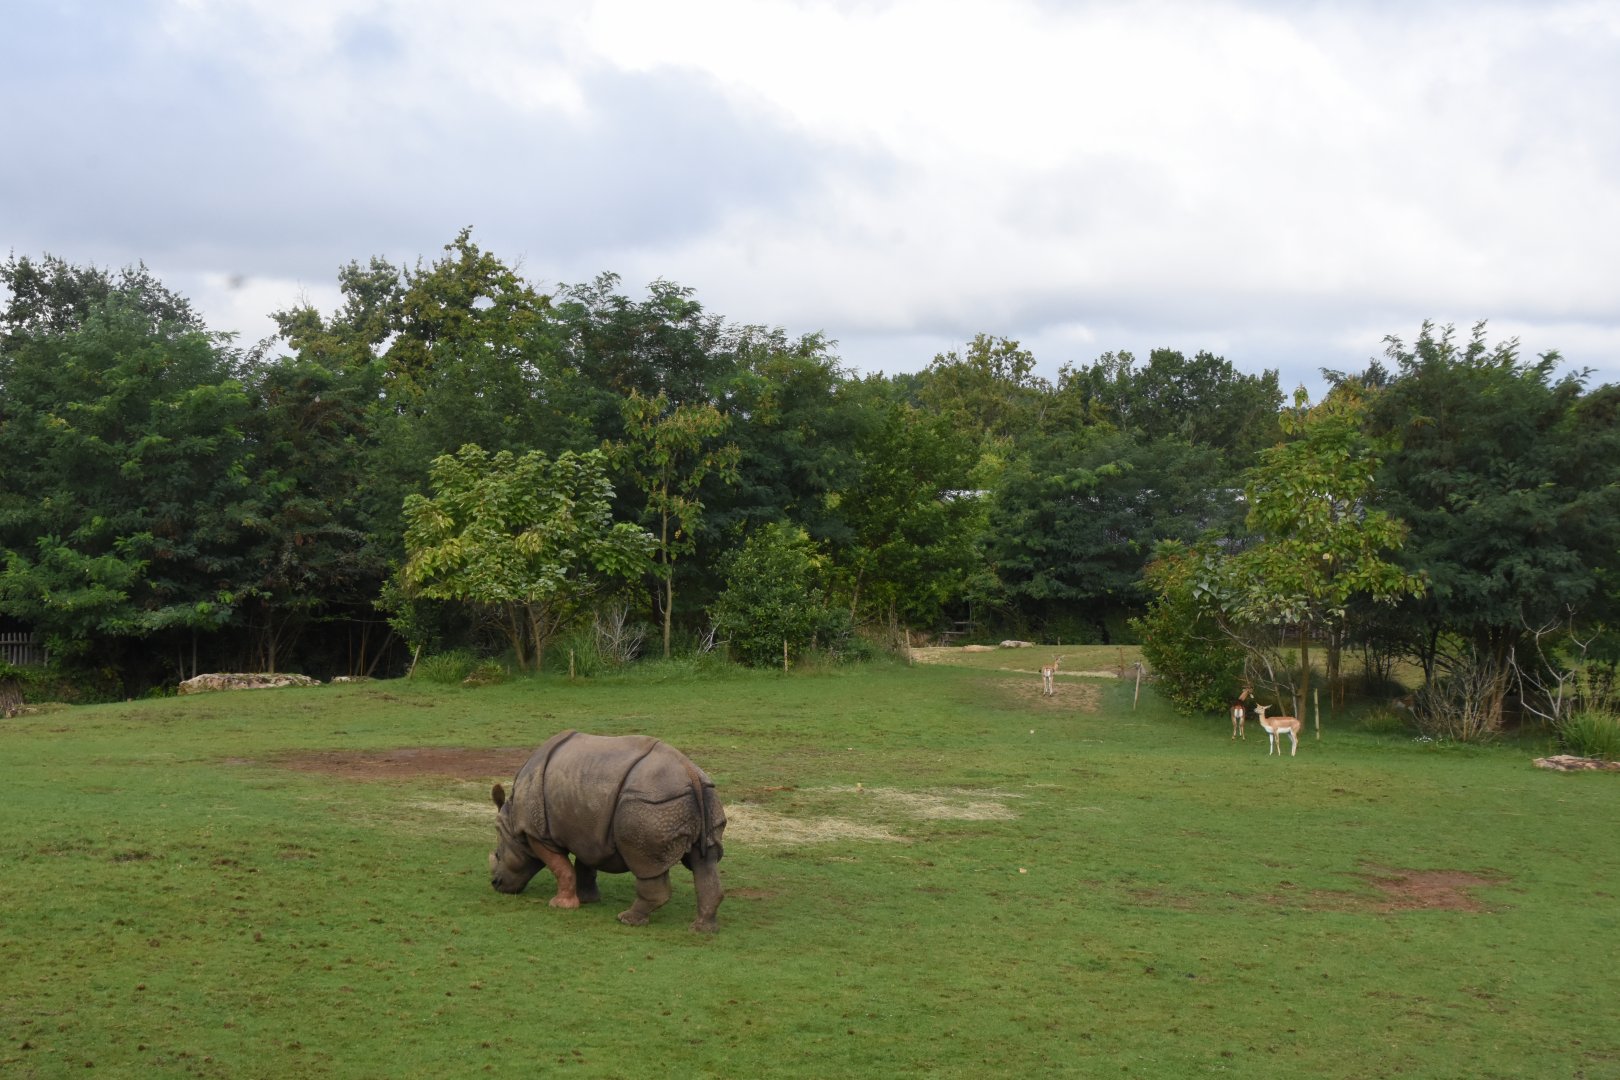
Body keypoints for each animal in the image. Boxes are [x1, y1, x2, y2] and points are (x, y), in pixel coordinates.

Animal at [489, 730, 727, 932]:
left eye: (498, 855)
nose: (495, 884)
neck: (512, 821)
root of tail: (690, 773)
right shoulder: (585, 831)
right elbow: (584, 864)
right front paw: (587, 899)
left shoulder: (536, 833)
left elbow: (561, 866)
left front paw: (560, 905)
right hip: (701, 798)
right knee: (704, 861)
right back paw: (702, 929)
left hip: (650, 806)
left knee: (645, 863)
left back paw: (627, 919)